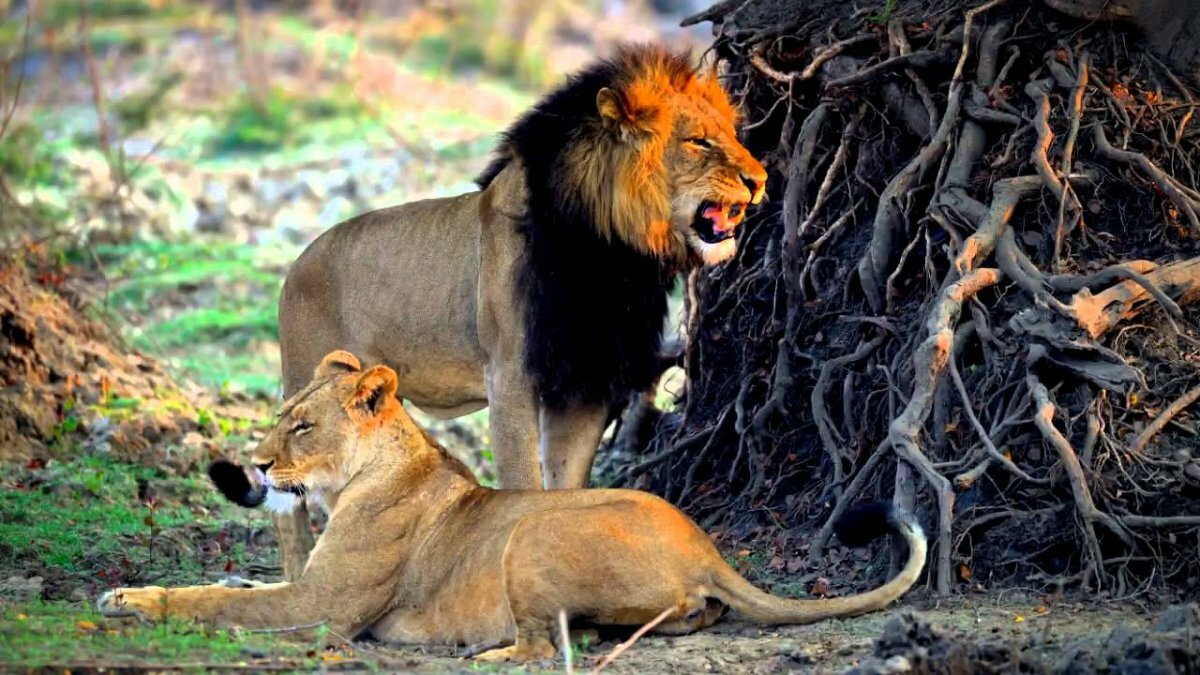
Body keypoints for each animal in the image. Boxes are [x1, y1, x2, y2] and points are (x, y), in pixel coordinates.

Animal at [98, 351, 927, 663]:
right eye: (283, 416)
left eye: (303, 425)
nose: (261, 464)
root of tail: (707, 548)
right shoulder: (309, 587)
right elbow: (236, 584)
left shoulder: (325, 608)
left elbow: (216, 600)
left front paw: (133, 600)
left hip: (531, 529)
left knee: (541, 645)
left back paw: (487, 652)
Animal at [268, 43, 769, 580]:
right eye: (698, 141)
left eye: (732, 135)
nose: (760, 180)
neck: (611, 259)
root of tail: (297, 263)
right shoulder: (510, 377)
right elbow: (521, 479)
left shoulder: (586, 382)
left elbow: (566, 483)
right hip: (307, 383)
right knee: (287, 498)